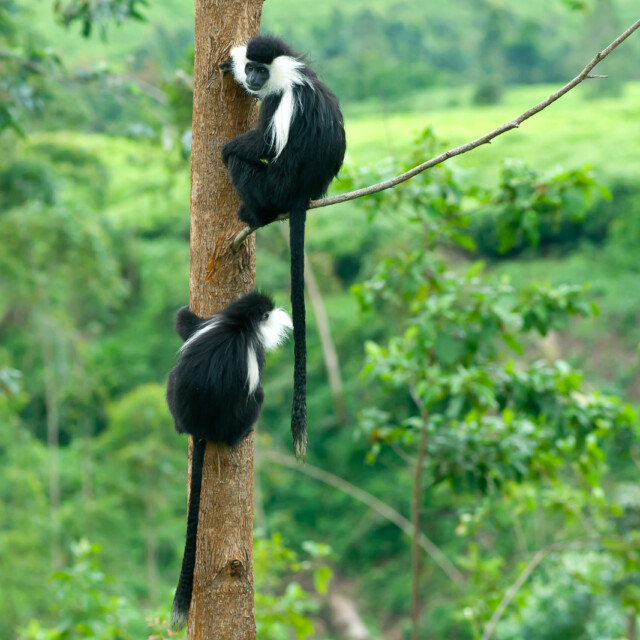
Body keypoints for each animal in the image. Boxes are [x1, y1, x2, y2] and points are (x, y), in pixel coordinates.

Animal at [167, 291, 292, 630]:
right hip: (230, 421)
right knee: (254, 399)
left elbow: (185, 323)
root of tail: (199, 427)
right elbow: (254, 387)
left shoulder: (209, 324)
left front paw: (184, 313)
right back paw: (242, 432)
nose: (280, 314)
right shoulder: (253, 351)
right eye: (268, 313)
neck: (238, 325)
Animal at [220, 35, 346, 460]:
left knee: (242, 163)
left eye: (261, 70)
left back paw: (253, 213)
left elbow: (261, 142)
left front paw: (230, 144)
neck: (293, 75)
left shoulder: (281, 100)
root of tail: (301, 194)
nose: (252, 79)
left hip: (269, 188)